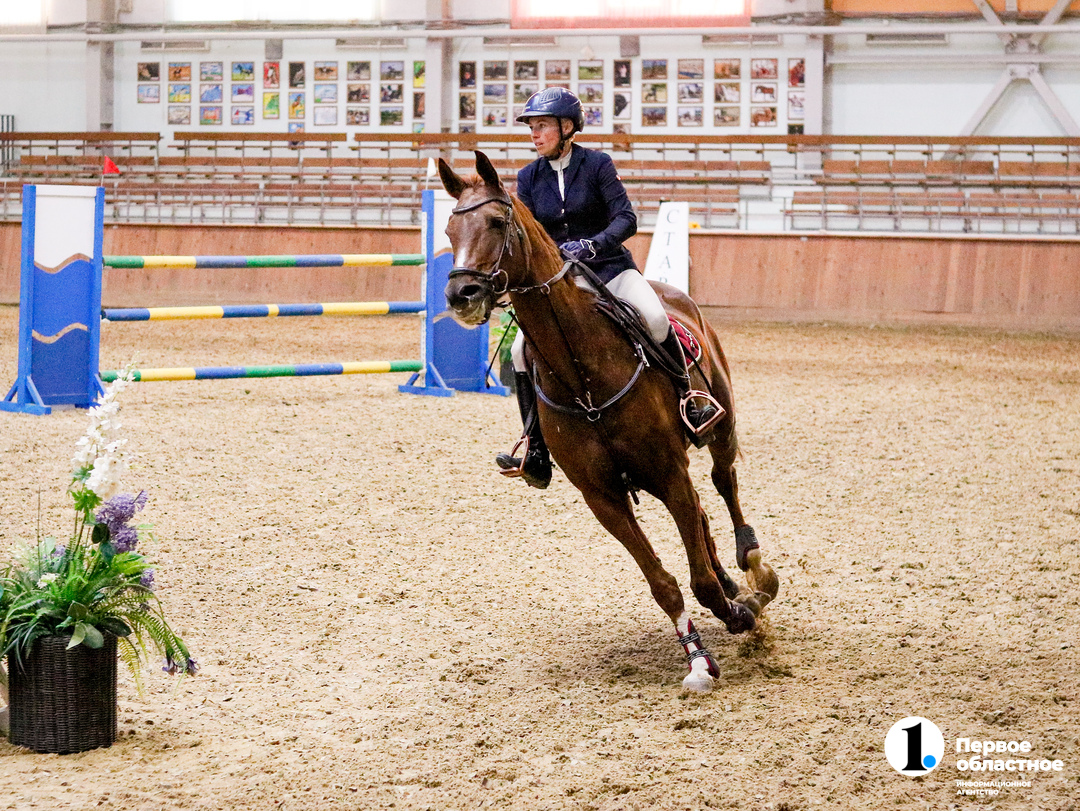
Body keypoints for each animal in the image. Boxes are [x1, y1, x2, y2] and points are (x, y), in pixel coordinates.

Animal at [438, 151, 780, 692]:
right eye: (451, 229)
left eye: (496, 222)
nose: (460, 295)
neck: (584, 371)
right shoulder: (604, 498)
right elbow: (664, 584)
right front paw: (702, 653)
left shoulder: (668, 472)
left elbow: (699, 578)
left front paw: (735, 617)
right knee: (704, 514)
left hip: (717, 429)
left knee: (723, 483)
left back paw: (753, 568)